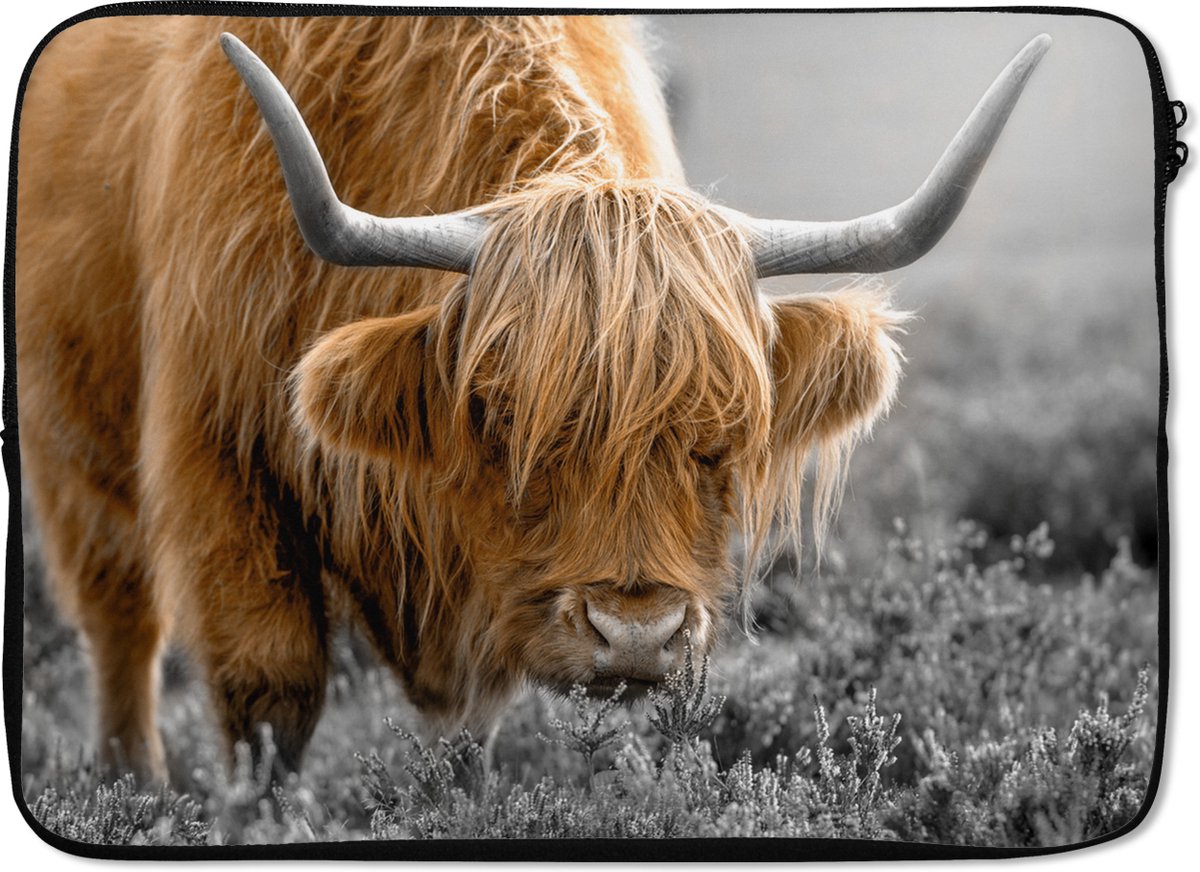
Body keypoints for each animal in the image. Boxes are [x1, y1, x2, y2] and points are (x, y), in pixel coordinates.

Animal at [15, 16, 1048, 781]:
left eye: (721, 435)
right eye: (506, 417)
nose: (637, 636)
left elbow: (472, 730)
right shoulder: (220, 457)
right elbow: (267, 692)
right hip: (69, 447)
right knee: (120, 623)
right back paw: (132, 786)